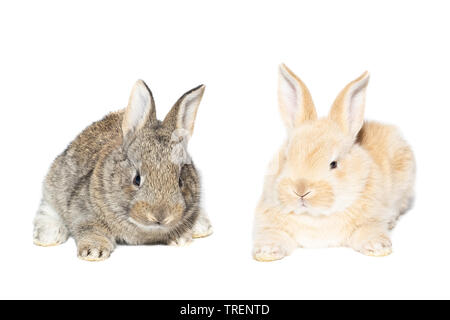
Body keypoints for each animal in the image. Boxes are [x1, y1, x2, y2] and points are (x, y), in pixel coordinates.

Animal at [33, 79, 213, 260]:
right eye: (137, 179)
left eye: (180, 181)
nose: (161, 217)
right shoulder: (83, 210)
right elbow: (90, 228)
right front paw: (94, 252)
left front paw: (181, 238)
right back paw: (48, 236)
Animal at [253, 64, 414, 260]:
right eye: (286, 157)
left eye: (334, 164)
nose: (301, 190)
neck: (315, 217)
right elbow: (273, 234)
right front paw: (267, 252)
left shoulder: (373, 217)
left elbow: (368, 230)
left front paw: (378, 247)